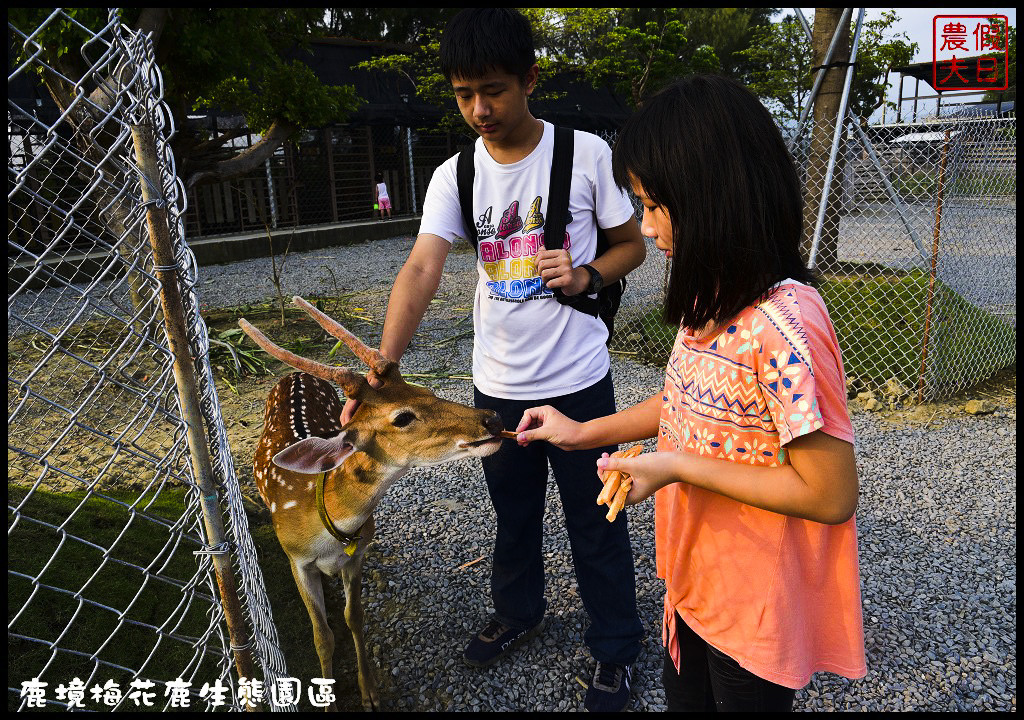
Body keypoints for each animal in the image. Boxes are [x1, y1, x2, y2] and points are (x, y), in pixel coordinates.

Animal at [243, 297, 507, 708]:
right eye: (402, 417)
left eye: (424, 389)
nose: (492, 418)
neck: (328, 528)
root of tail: (293, 375)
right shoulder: (296, 560)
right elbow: (322, 635)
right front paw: (330, 699)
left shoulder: (358, 552)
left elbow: (355, 617)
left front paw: (369, 693)